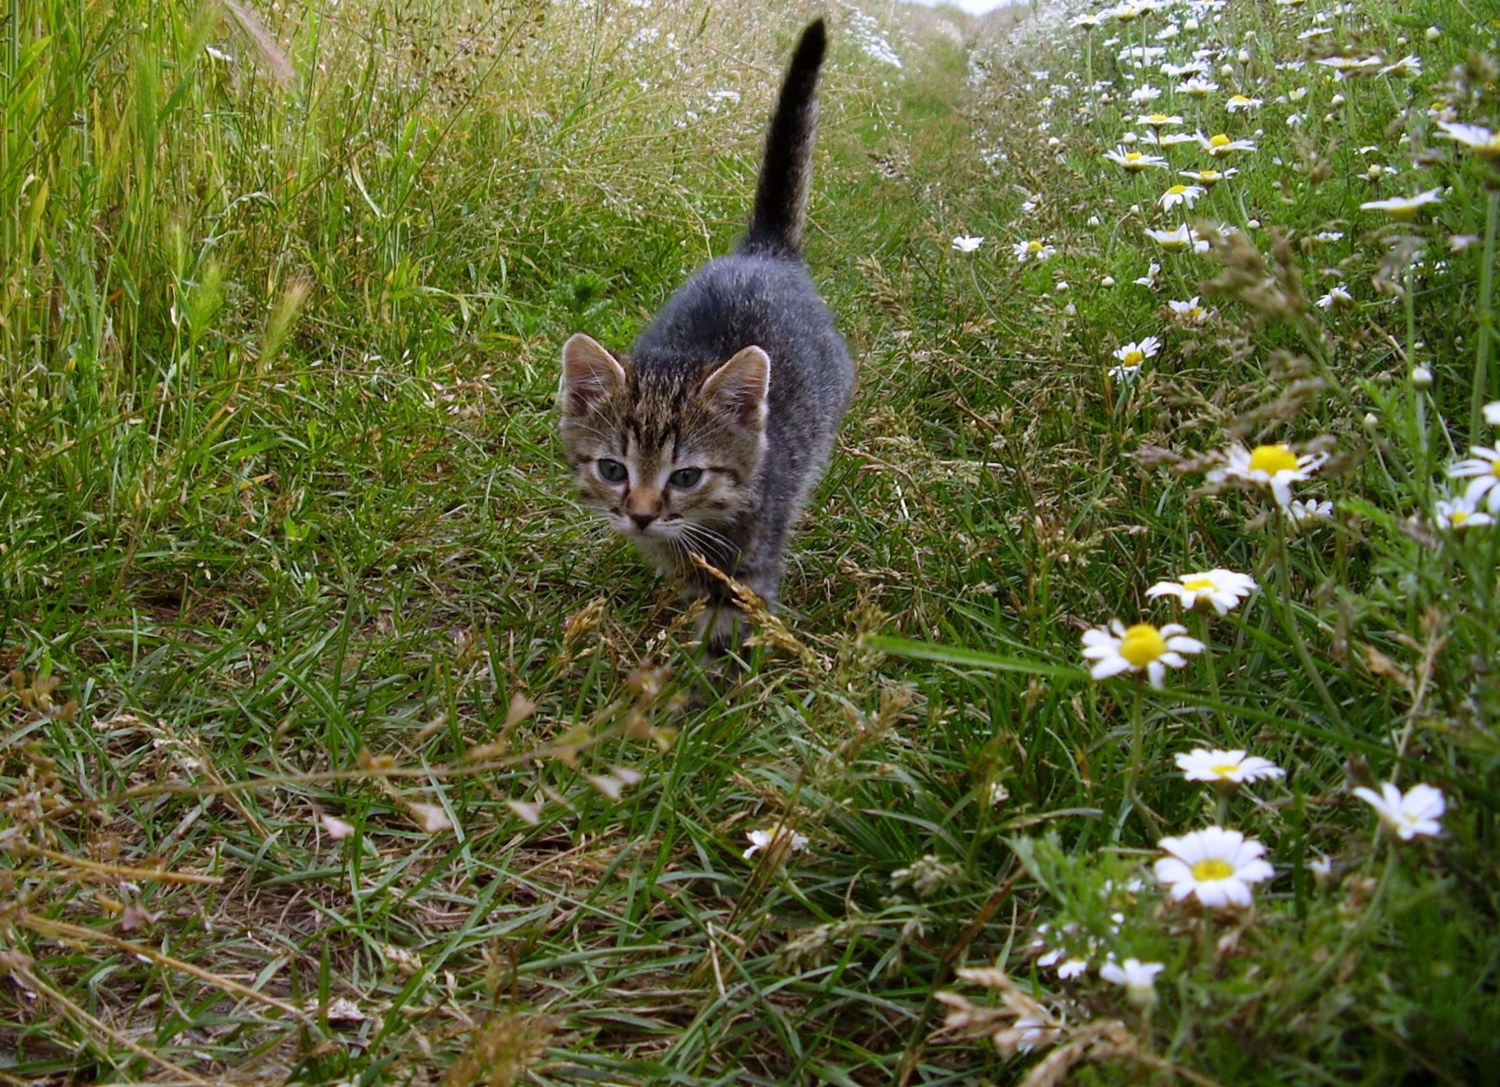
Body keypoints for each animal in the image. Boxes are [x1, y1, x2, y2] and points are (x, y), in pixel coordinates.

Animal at [558, 21, 858, 653]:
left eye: (687, 477)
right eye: (613, 470)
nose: (641, 514)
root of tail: (764, 252)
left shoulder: (749, 576)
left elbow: (724, 644)